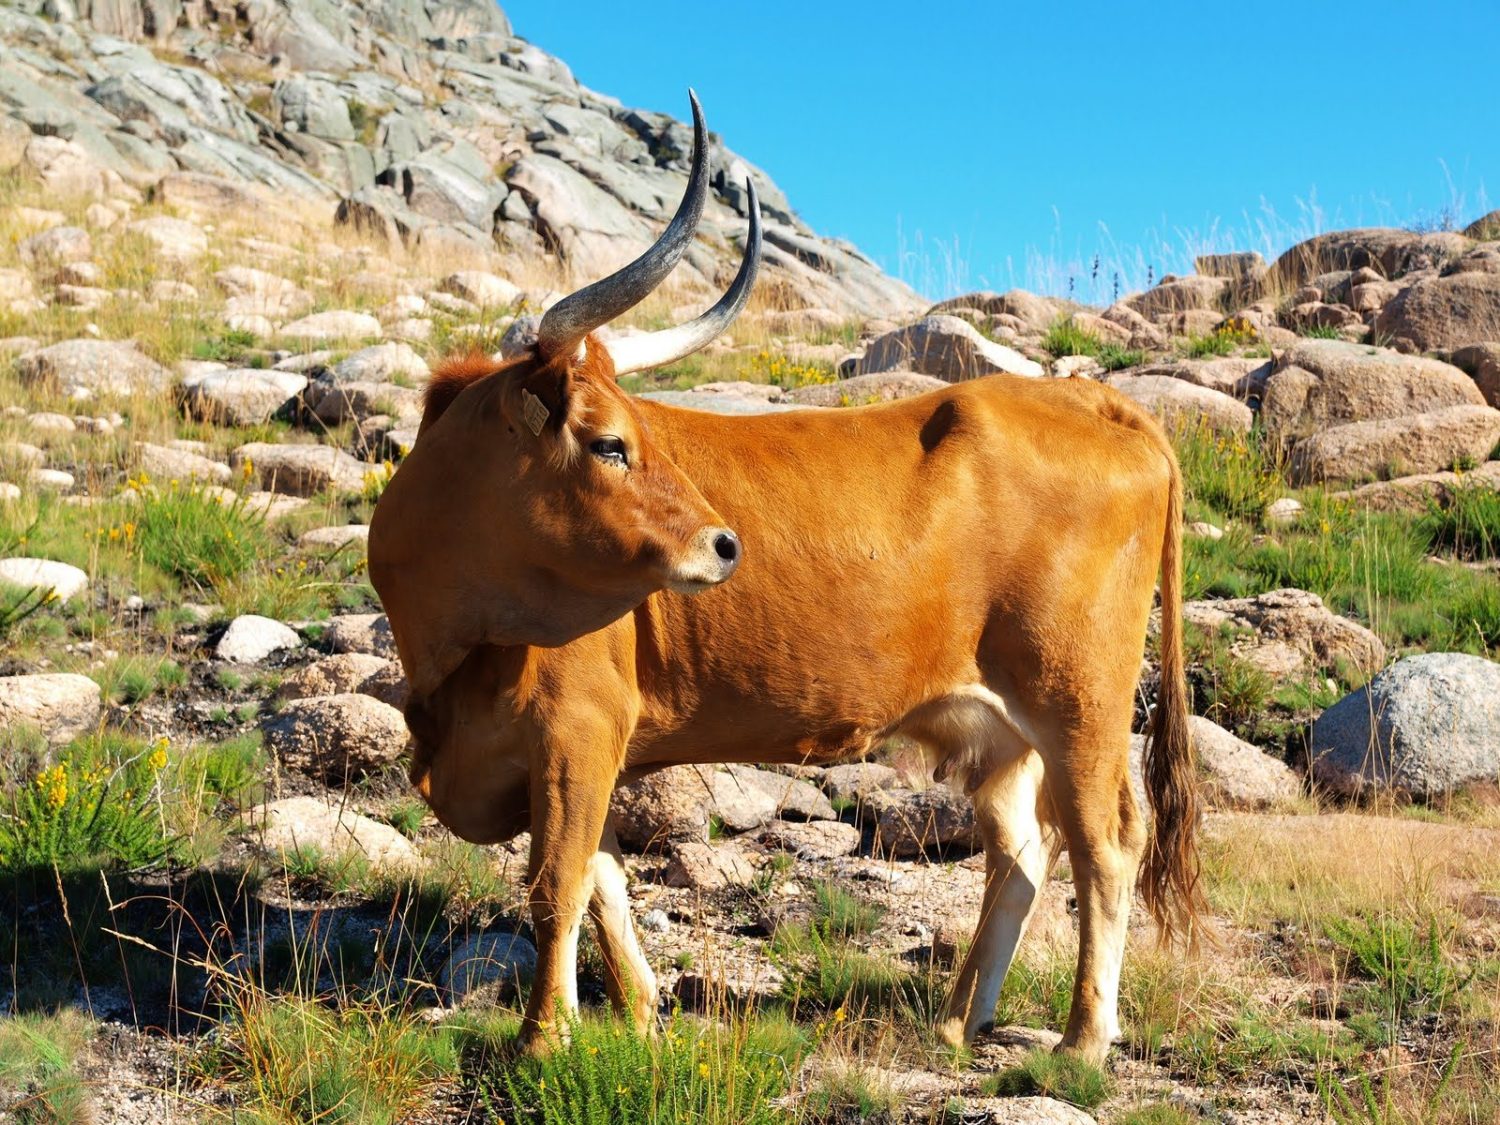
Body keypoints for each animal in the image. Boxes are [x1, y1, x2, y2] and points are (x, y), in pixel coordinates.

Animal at [369, 94, 1200, 1068]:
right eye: (610, 441)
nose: (725, 545)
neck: (452, 648)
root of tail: (1090, 398)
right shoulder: (585, 746)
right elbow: (605, 881)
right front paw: (640, 1014)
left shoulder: (578, 729)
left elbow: (557, 883)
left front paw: (543, 1039)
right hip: (999, 725)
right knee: (1023, 851)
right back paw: (959, 1019)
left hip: (1080, 700)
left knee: (1107, 842)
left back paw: (1081, 1039)